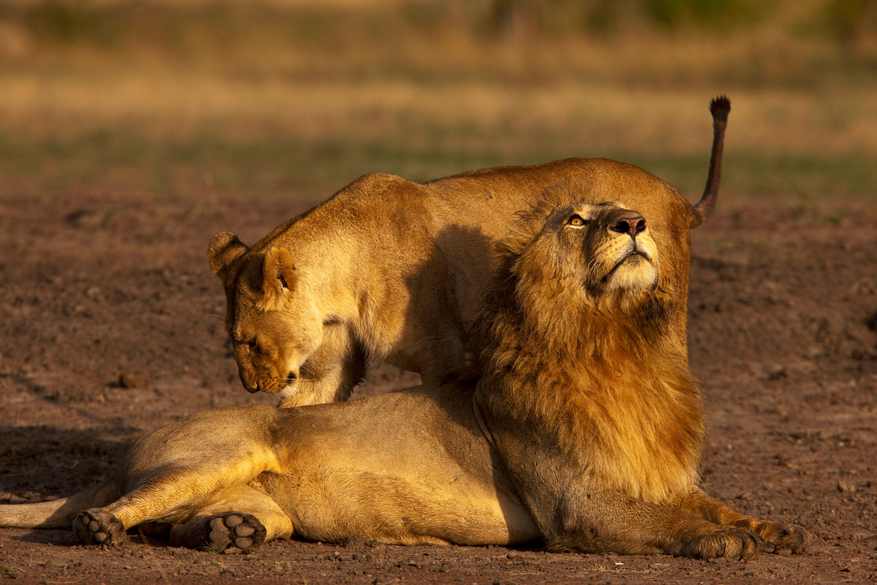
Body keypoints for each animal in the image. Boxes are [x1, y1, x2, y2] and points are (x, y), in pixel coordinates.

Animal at [0, 192, 800, 556]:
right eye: (577, 218)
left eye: (620, 213)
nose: (633, 221)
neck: (616, 345)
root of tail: (125, 454)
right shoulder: (574, 505)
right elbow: (666, 521)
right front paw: (719, 543)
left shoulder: (660, 473)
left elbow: (714, 503)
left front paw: (772, 528)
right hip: (219, 449)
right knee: (118, 507)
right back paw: (104, 527)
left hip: (262, 505)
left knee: (195, 521)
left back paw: (227, 532)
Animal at [209, 97, 728, 406]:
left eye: (248, 341)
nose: (252, 387)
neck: (340, 284)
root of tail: (676, 196)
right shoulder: (326, 370)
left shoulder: (449, 362)